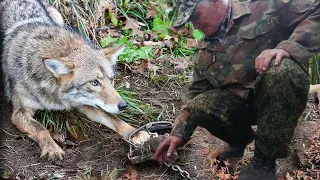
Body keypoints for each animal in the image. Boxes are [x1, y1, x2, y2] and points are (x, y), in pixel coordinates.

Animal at [0, 0, 150, 160]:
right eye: (94, 82)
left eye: (111, 80)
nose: (123, 106)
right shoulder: (19, 113)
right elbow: (41, 129)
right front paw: (52, 148)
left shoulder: (84, 103)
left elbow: (112, 118)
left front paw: (135, 133)